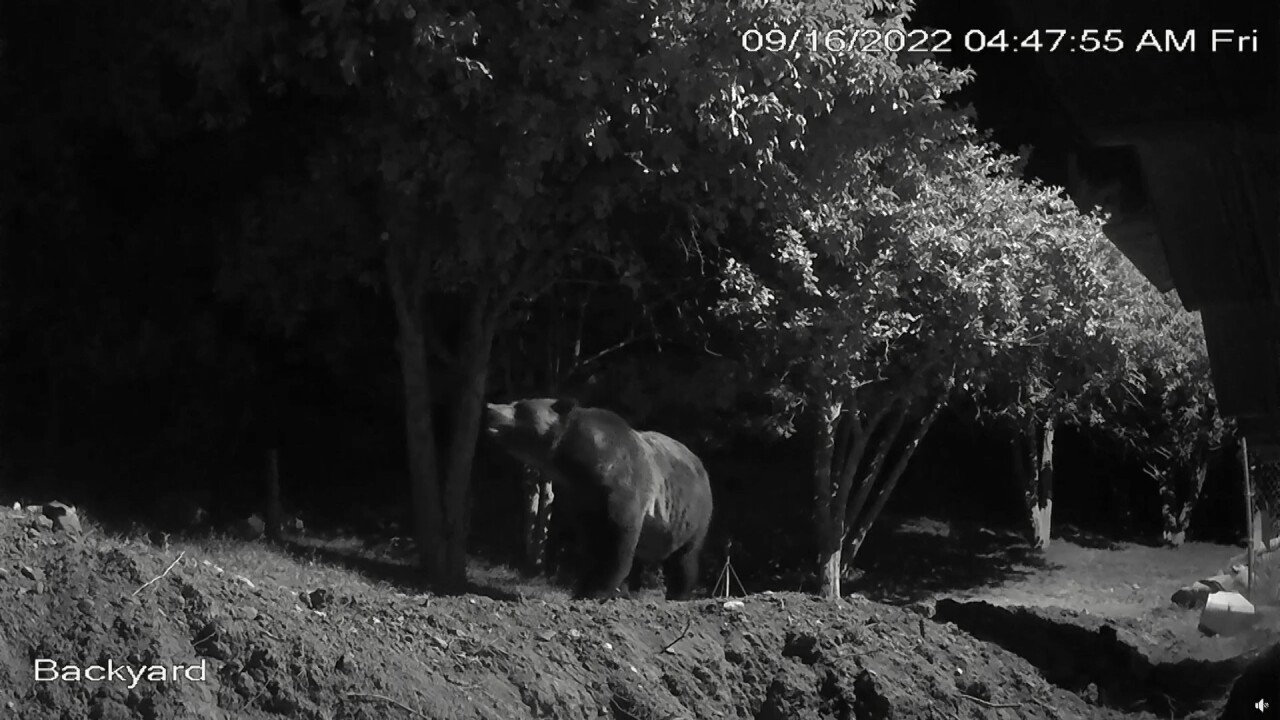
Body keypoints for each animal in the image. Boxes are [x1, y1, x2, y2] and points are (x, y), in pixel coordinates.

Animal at [483, 397, 713, 601]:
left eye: (519, 406)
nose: (490, 407)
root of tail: (701, 464)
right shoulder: (583, 499)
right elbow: (592, 542)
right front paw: (587, 587)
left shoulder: (623, 487)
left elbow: (617, 541)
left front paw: (598, 590)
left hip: (691, 515)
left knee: (685, 557)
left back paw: (678, 593)